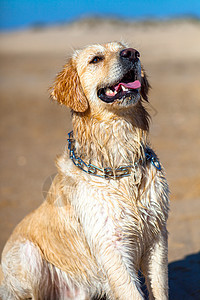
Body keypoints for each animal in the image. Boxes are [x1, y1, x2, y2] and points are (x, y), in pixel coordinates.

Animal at [0, 41, 170, 298]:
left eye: (124, 48)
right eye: (95, 59)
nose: (132, 53)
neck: (119, 160)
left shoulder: (157, 237)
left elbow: (159, 289)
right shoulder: (111, 244)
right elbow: (130, 291)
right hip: (27, 253)